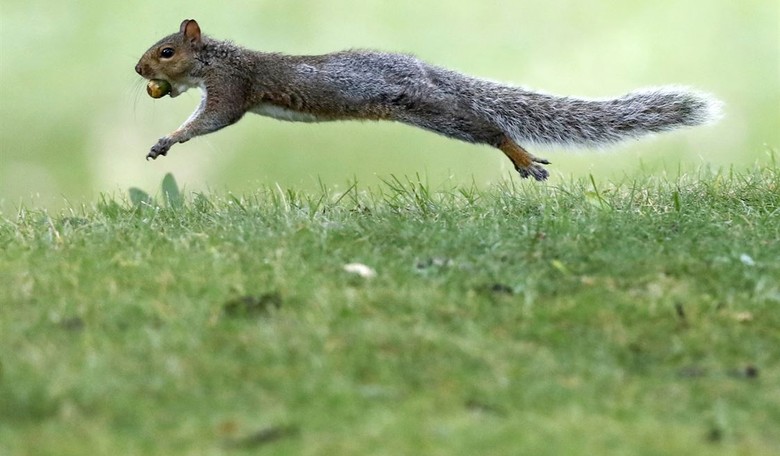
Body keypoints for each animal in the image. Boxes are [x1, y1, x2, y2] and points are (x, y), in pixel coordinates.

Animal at [135, 19, 722, 181]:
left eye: (166, 51)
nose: (140, 71)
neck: (217, 58)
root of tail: (421, 70)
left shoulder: (233, 88)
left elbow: (212, 120)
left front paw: (169, 138)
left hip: (431, 111)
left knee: (490, 128)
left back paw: (523, 158)